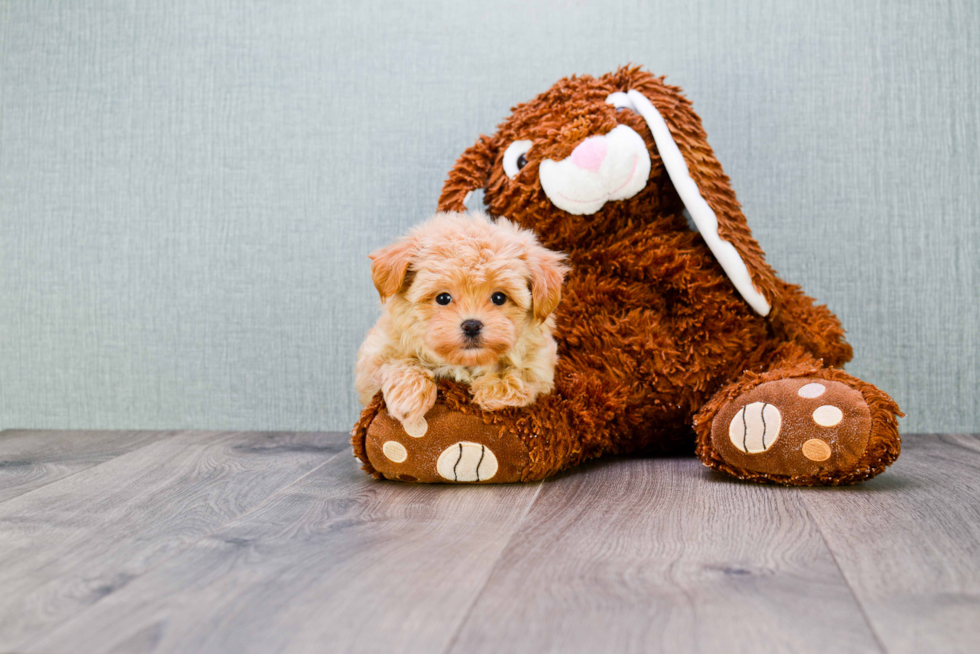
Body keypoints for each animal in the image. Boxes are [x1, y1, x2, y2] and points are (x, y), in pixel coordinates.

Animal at [356, 211, 572, 436]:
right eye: (443, 298)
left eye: (499, 298)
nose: (472, 325)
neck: (465, 363)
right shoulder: (373, 359)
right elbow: (396, 362)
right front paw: (410, 394)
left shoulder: (542, 366)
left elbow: (524, 375)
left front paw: (496, 389)